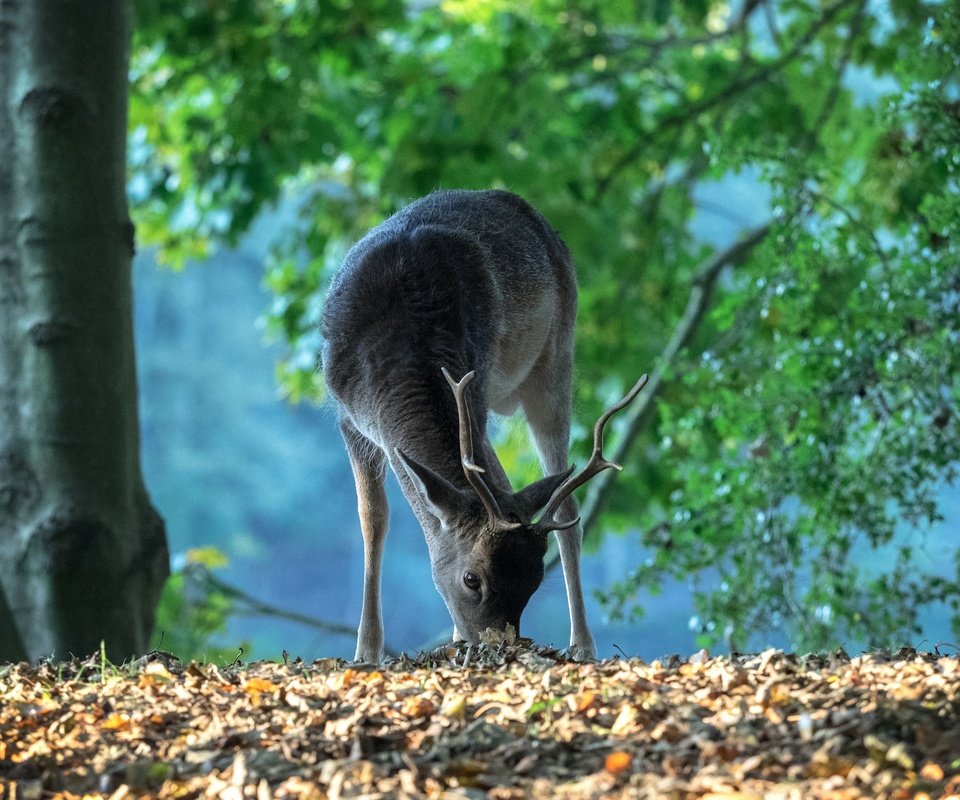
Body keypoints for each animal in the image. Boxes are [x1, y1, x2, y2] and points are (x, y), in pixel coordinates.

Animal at [320, 189, 644, 664]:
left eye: (533, 581)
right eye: (472, 579)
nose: (499, 645)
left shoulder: (476, 385)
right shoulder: (349, 419)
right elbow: (372, 520)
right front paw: (366, 651)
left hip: (556, 358)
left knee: (567, 510)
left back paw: (583, 644)